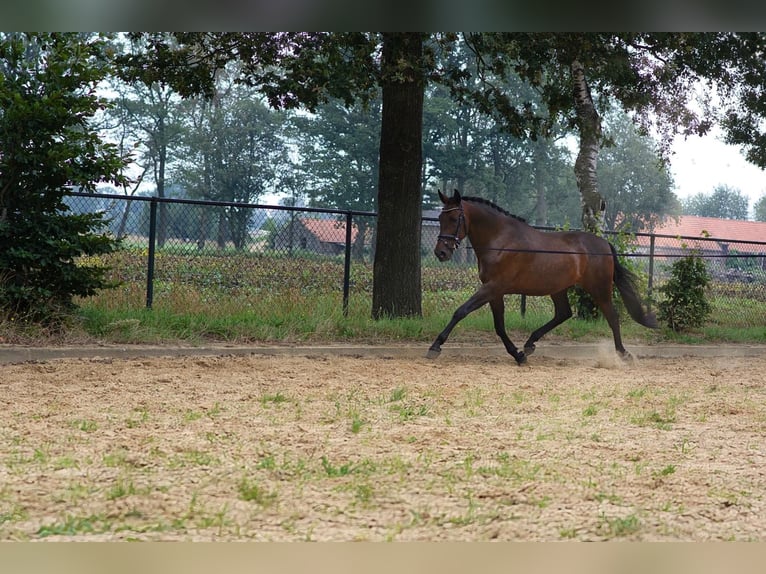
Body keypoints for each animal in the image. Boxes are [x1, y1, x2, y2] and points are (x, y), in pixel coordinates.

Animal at [428, 191, 656, 366]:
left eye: (454, 219)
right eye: (440, 219)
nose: (441, 253)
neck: (500, 241)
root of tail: (604, 244)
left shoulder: (492, 287)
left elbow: (461, 311)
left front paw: (435, 347)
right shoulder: (494, 291)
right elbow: (499, 326)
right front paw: (518, 355)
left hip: (599, 288)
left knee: (612, 317)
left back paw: (623, 354)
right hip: (558, 288)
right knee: (563, 313)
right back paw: (529, 344)